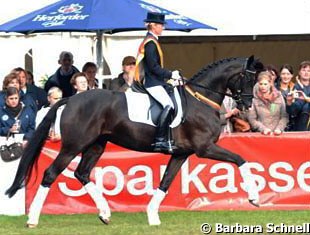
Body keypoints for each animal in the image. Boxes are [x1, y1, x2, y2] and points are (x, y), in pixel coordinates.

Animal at [6, 56, 264, 227]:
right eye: (246, 78)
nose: (247, 105)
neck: (200, 99)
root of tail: (71, 99)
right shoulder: (205, 148)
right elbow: (241, 160)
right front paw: (254, 198)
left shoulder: (181, 153)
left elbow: (165, 182)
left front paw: (152, 216)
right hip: (72, 147)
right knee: (51, 173)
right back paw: (33, 219)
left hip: (96, 145)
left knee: (82, 173)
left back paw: (105, 213)